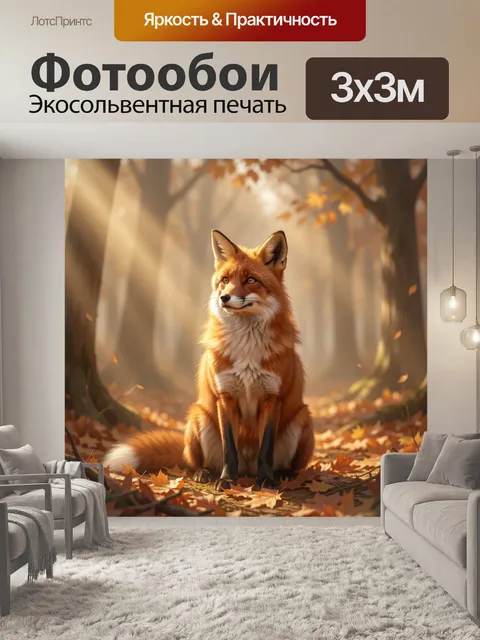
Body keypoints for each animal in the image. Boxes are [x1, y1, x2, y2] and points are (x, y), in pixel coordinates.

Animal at [104, 229, 314, 490]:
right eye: (224, 279)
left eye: (250, 280)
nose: (224, 297)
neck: (247, 348)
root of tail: (247, 468)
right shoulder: (225, 396)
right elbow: (229, 449)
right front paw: (226, 480)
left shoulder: (272, 398)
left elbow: (266, 448)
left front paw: (265, 481)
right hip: (198, 415)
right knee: (195, 462)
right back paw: (204, 473)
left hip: (302, 418)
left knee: (289, 463)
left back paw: (284, 474)